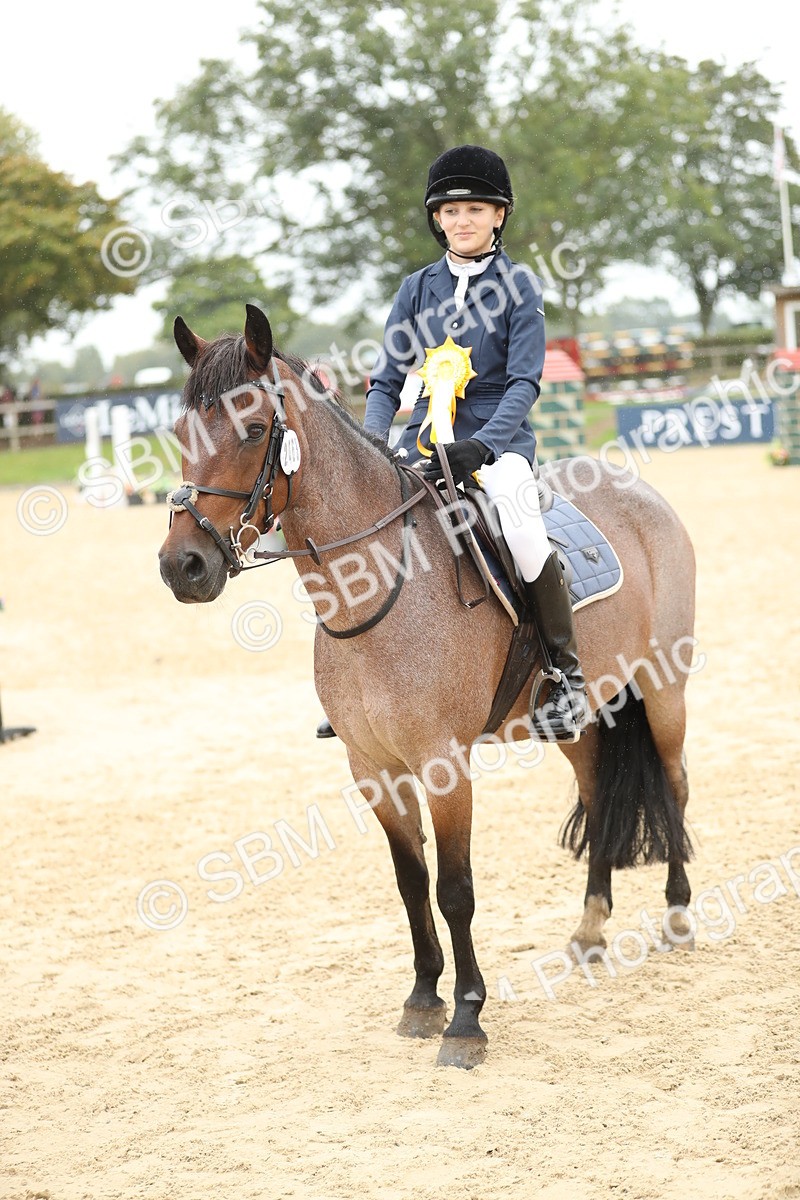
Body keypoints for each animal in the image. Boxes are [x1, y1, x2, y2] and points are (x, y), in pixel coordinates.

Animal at [158, 304, 695, 1069]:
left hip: (664, 686)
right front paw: (421, 998)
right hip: (583, 715)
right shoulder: (373, 767)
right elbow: (411, 883)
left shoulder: (443, 765)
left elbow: (455, 889)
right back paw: (591, 931)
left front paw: (466, 1019)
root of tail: (644, 493)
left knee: (675, 784)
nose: (184, 565)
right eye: (182, 434)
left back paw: (679, 912)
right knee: (597, 794)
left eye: (256, 430)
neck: (379, 584)